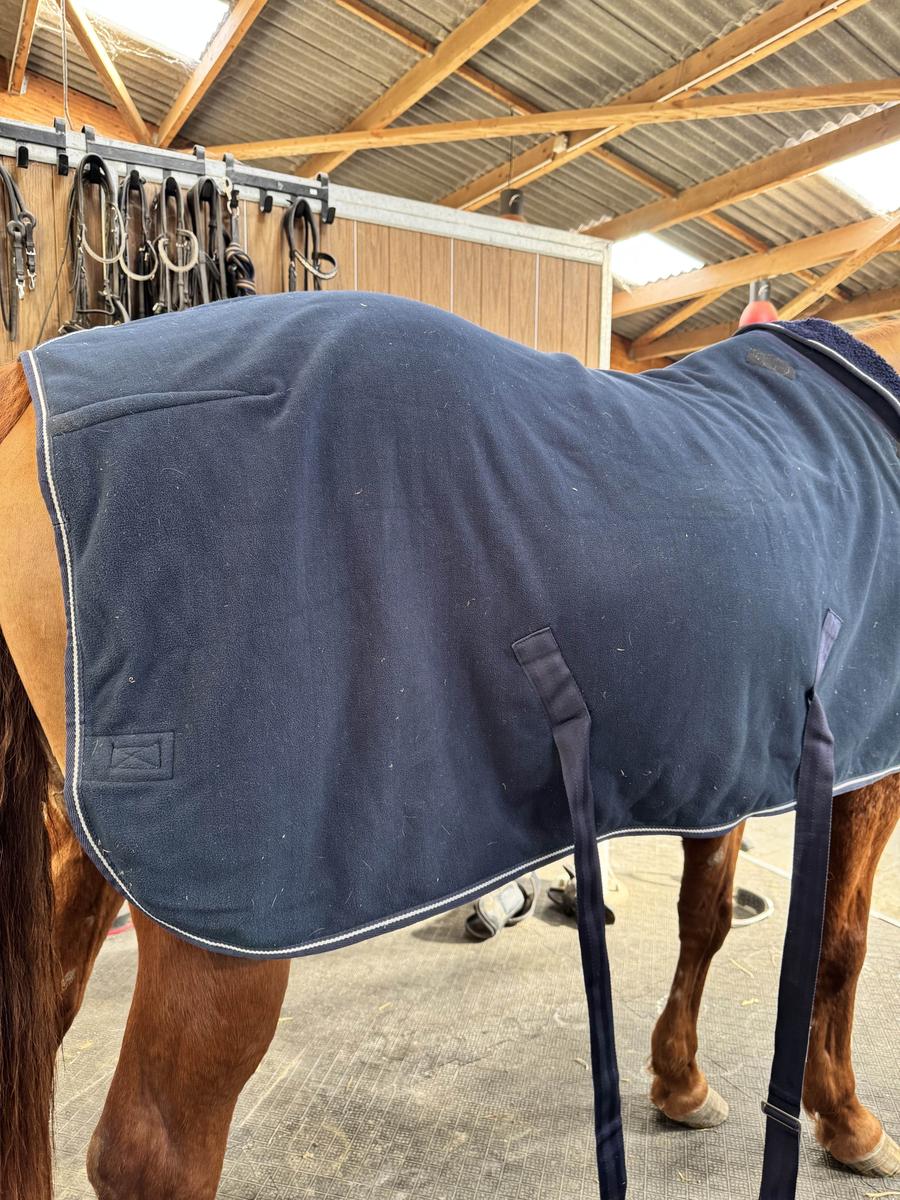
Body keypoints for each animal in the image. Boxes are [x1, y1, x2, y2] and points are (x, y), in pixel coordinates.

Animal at [0, 307, 897, 1200]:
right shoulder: (863, 768)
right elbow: (842, 945)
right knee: (149, 1154)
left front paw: (681, 1086)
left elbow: (705, 922)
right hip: (217, 938)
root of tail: (36, 381)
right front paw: (851, 1124)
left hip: (85, 851)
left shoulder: (737, 762)